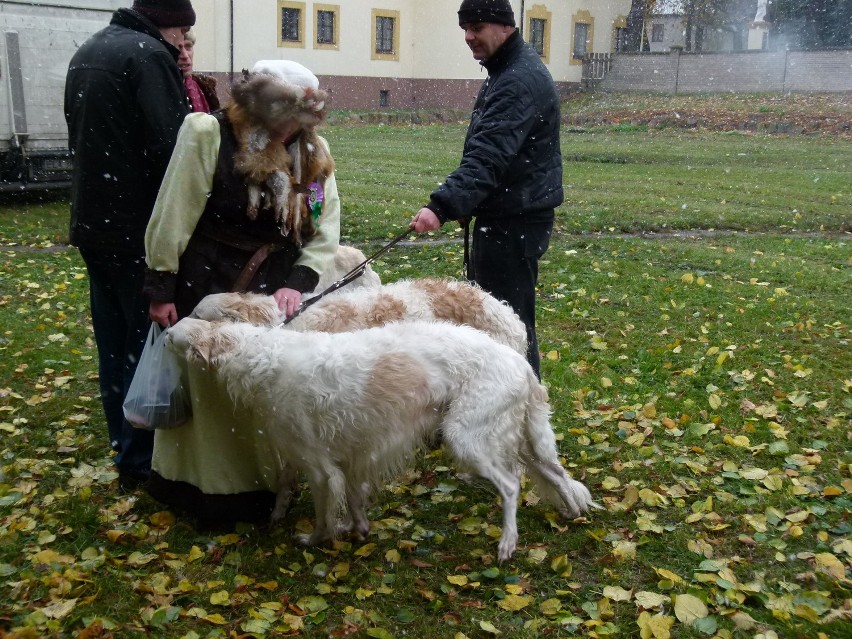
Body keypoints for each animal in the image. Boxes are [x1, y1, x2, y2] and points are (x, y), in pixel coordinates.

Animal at [165, 318, 592, 560]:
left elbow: (324, 514)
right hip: (519, 437)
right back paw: (572, 513)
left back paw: (507, 544)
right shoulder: (351, 454)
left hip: (466, 437)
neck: (259, 356)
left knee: (511, 485)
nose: (162, 327)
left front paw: (313, 539)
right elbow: (348, 499)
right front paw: (357, 530)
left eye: (172, 333)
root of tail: (521, 363)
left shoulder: (319, 466)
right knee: (555, 474)